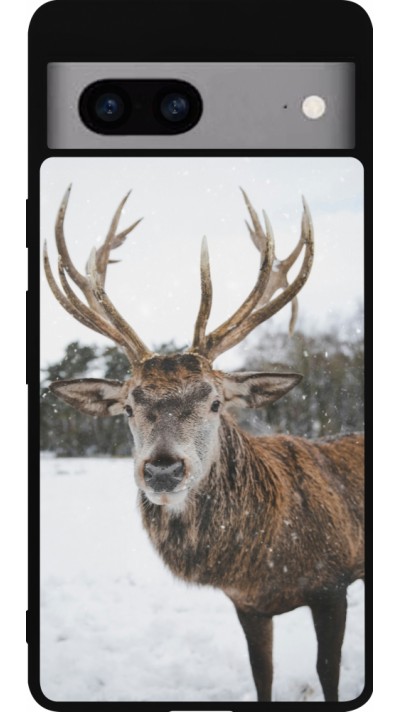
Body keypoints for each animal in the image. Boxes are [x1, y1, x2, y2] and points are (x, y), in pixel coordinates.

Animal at [43, 186, 364, 702]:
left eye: (215, 402)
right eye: (128, 407)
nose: (163, 469)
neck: (265, 561)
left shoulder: (333, 583)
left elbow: (328, 674)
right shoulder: (247, 604)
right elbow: (262, 675)